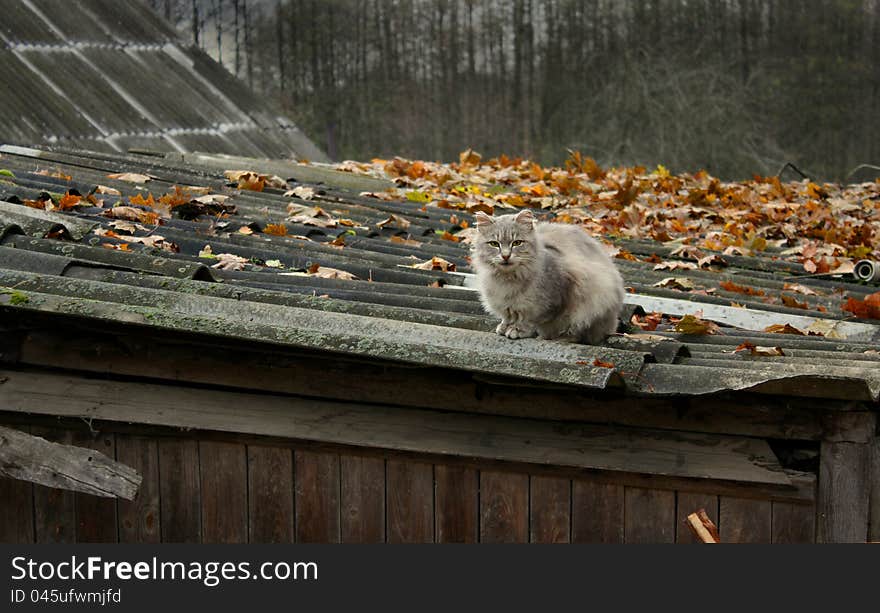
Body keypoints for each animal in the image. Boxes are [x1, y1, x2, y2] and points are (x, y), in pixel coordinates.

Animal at [470, 210, 624, 344]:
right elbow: (508, 317)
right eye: (494, 244)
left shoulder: (551, 303)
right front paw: (504, 327)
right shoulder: (506, 306)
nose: (506, 256)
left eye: (517, 243)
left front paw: (518, 330)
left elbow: (530, 320)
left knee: (578, 332)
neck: (508, 280)